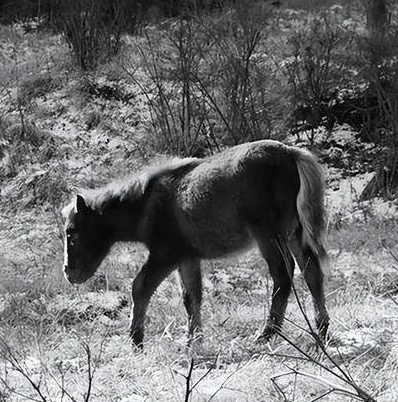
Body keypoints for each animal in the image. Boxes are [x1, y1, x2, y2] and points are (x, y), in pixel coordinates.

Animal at [63, 141, 330, 346]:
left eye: (71, 232)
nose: (68, 273)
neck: (146, 203)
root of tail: (291, 153)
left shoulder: (165, 255)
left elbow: (140, 287)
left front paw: (136, 340)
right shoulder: (187, 258)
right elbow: (191, 297)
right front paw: (194, 341)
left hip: (269, 236)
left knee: (283, 276)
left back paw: (267, 334)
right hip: (294, 233)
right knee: (312, 271)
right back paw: (321, 330)